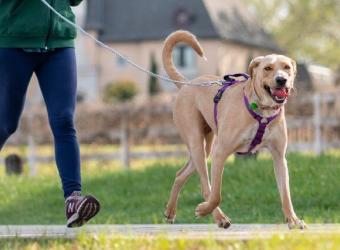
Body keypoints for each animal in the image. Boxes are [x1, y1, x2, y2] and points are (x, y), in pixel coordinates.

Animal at [163, 30, 306, 229]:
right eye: (267, 68)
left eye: (286, 67)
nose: (281, 80)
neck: (262, 111)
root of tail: (187, 84)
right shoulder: (220, 152)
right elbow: (216, 194)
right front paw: (204, 210)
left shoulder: (279, 157)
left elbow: (285, 193)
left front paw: (293, 220)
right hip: (197, 142)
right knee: (206, 187)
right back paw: (217, 216)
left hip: (205, 147)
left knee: (180, 174)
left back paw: (170, 211)